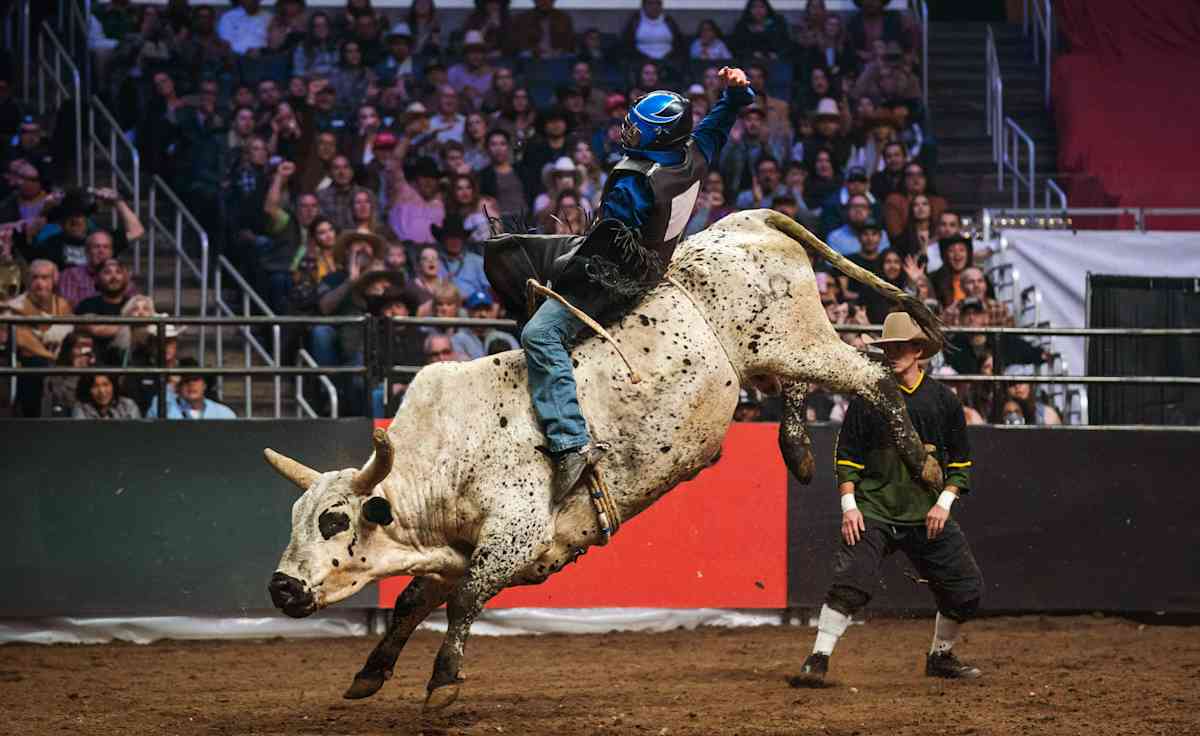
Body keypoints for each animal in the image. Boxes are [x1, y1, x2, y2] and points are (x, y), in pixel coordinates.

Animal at [264, 210, 944, 710]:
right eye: (295, 518)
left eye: (334, 521)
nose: (281, 587)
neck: (449, 453)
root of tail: (745, 221)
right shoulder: (455, 551)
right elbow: (411, 602)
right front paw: (369, 673)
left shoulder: (516, 538)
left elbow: (463, 602)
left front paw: (444, 682)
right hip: (776, 353)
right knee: (806, 385)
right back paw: (798, 451)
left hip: (797, 338)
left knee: (874, 378)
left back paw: (924, 464)